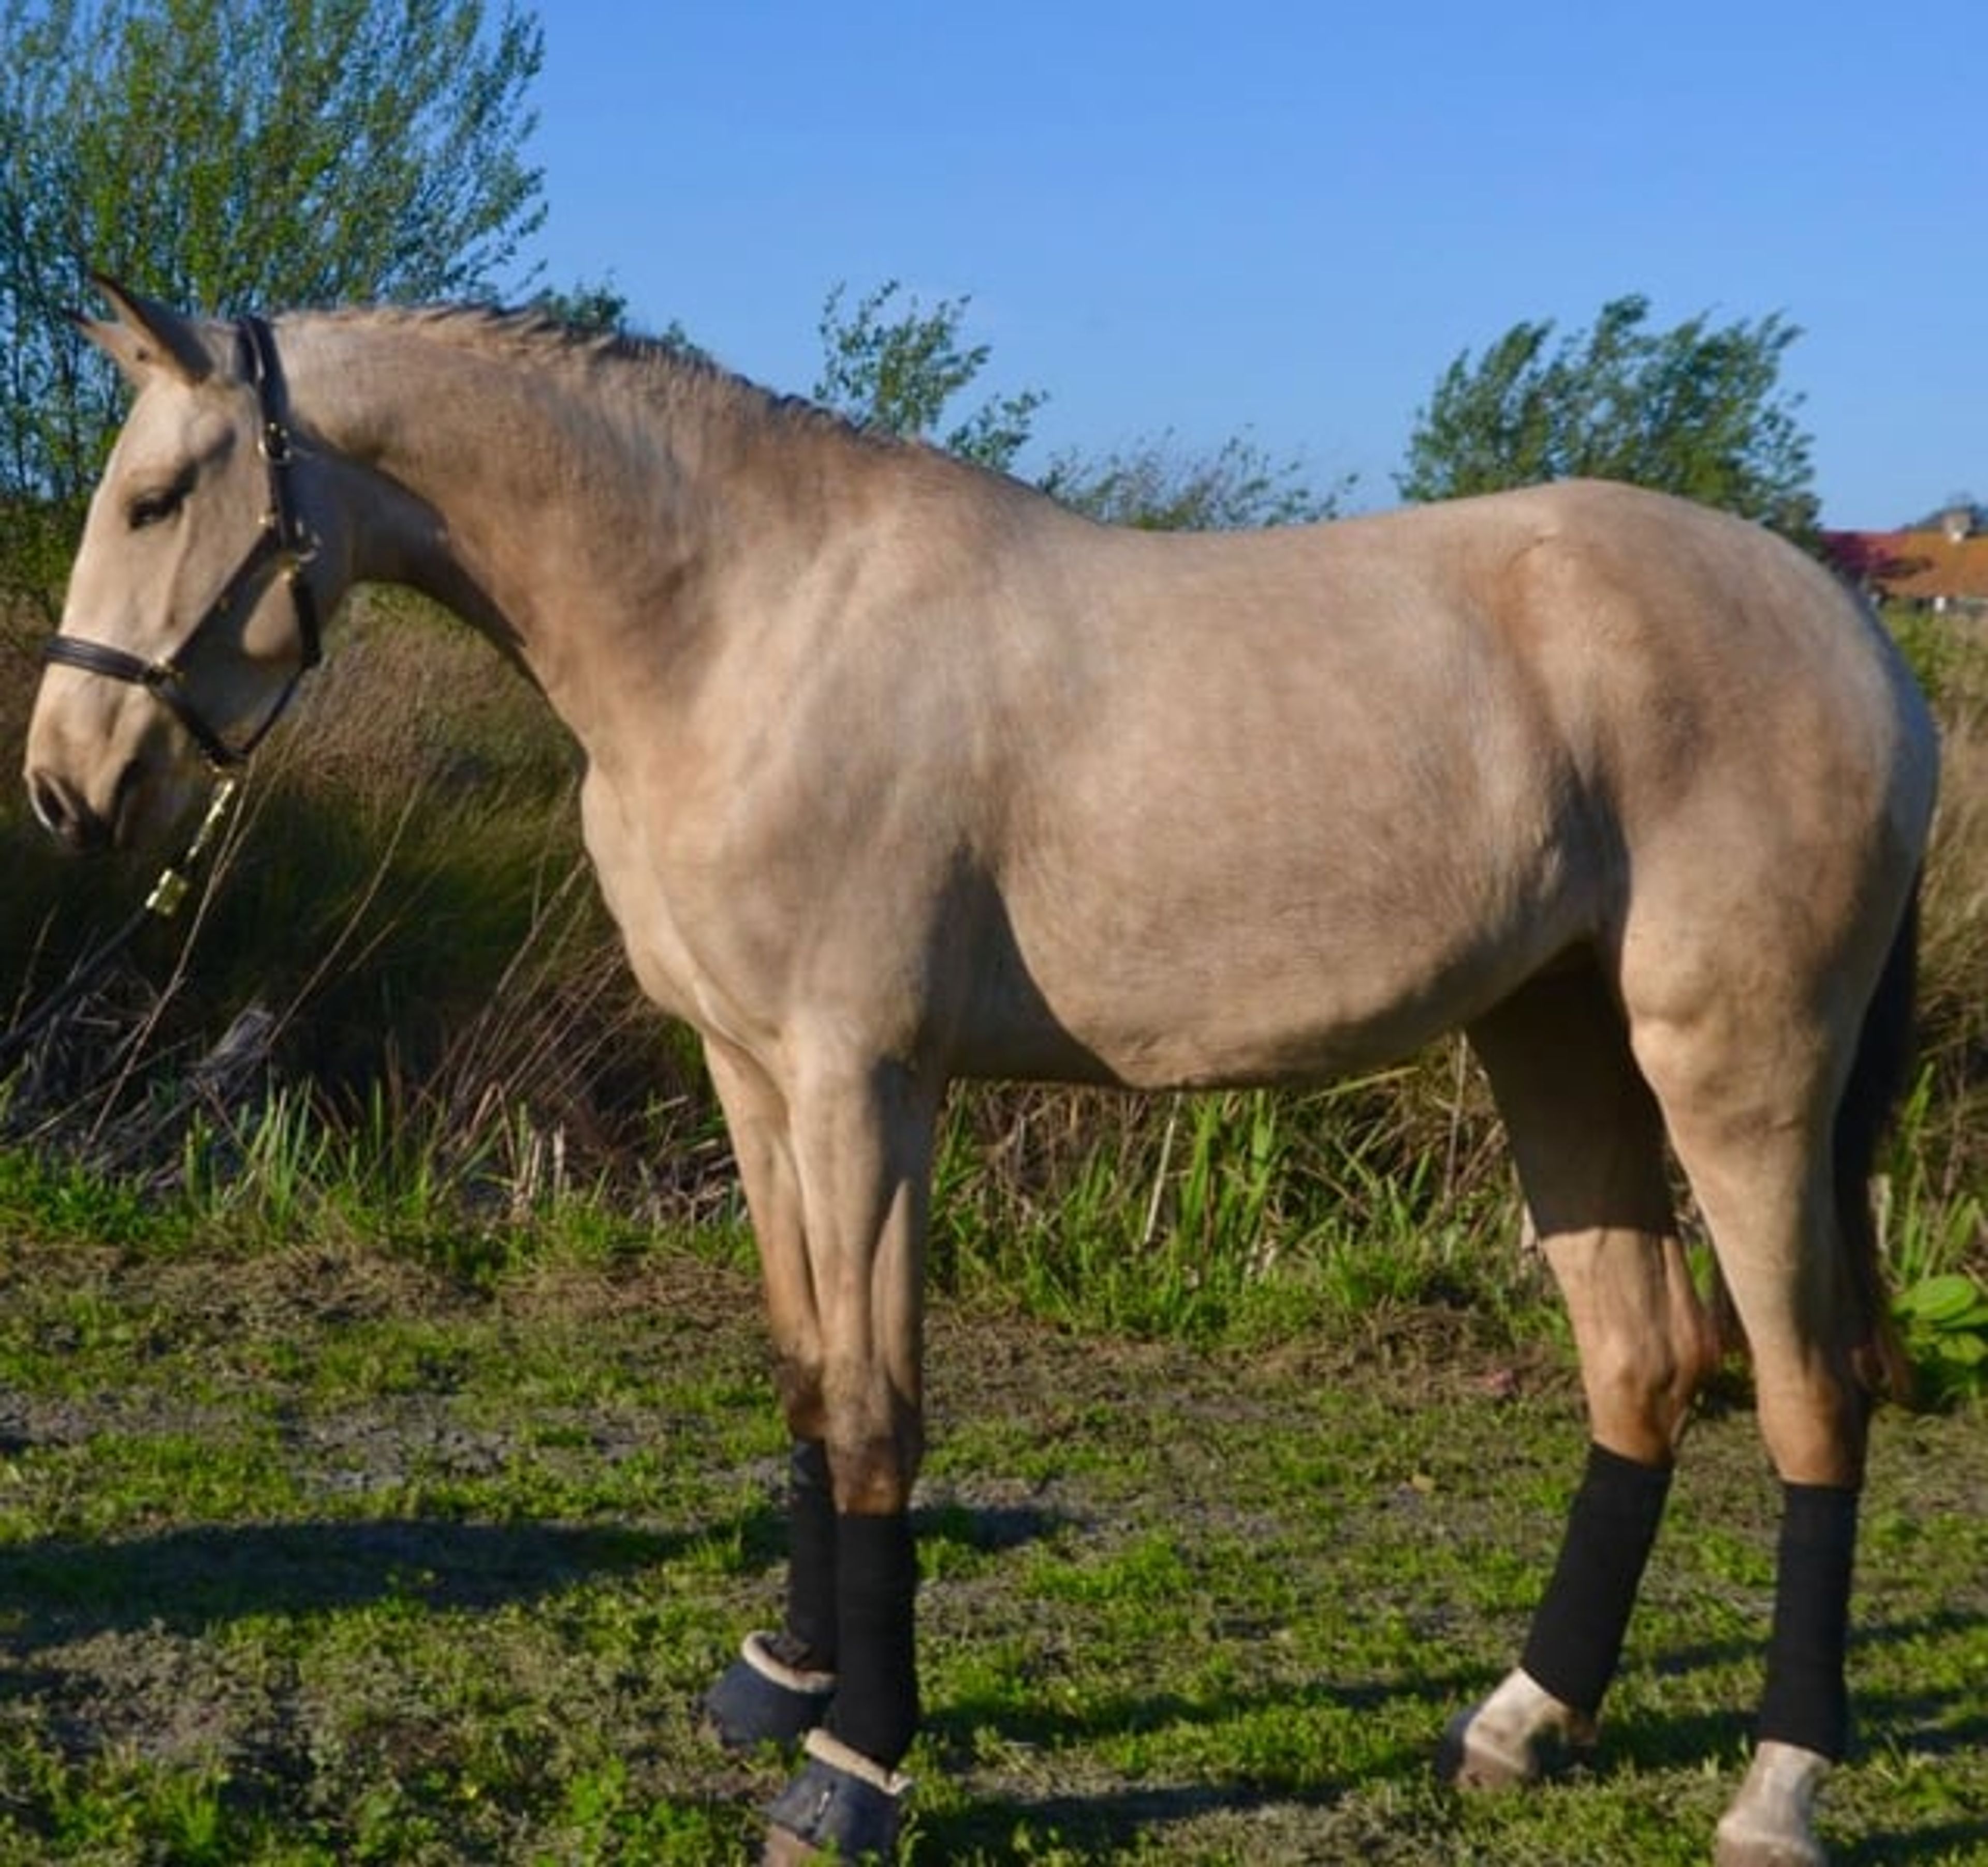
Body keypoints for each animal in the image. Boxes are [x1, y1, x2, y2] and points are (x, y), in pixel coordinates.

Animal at [23, 280, 1936, 1866]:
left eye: (151, 499)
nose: (65, 784)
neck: (739, 626)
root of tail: (1863, 643)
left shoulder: (863, 1080)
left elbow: (882, 1406)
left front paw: (850, 1770)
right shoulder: (750, 1075)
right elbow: (806, 1372)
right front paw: (781, 1678)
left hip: (1738, 1073)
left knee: (1804, 1395)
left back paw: (1776, 1789)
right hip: (1555, 1040)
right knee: (1644, 1363)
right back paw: (1522, 1723)